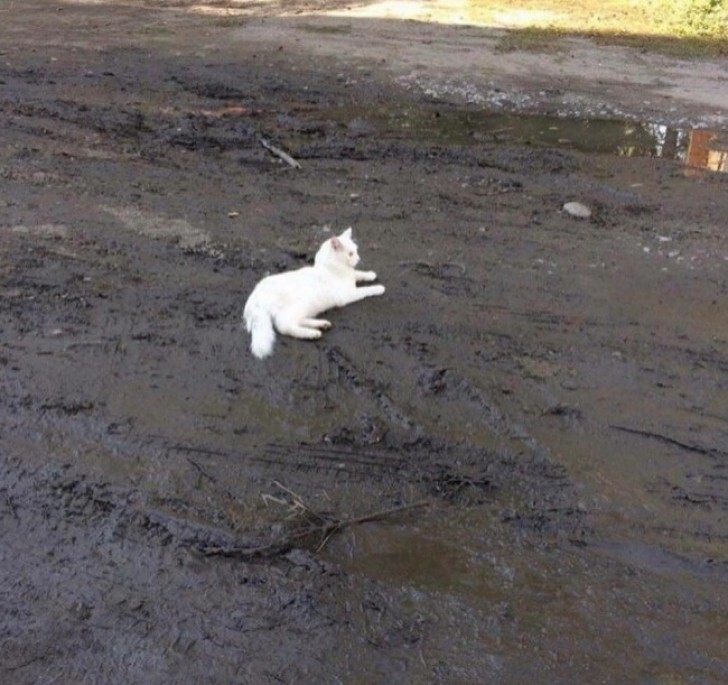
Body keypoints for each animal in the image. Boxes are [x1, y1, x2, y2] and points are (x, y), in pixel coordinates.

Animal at [243, 228, 384, 360]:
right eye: (350, 254)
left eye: (356, 251)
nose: (358, 259)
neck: (329, 267)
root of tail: (254, 296)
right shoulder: (348, 295)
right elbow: (366, 290)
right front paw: (379, 288)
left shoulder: (351, 277)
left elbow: (358, 273)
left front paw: (370, 274)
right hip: (298, 307)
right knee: (284, 325)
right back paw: (312, 334)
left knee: (297, 320)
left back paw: (322, 324)